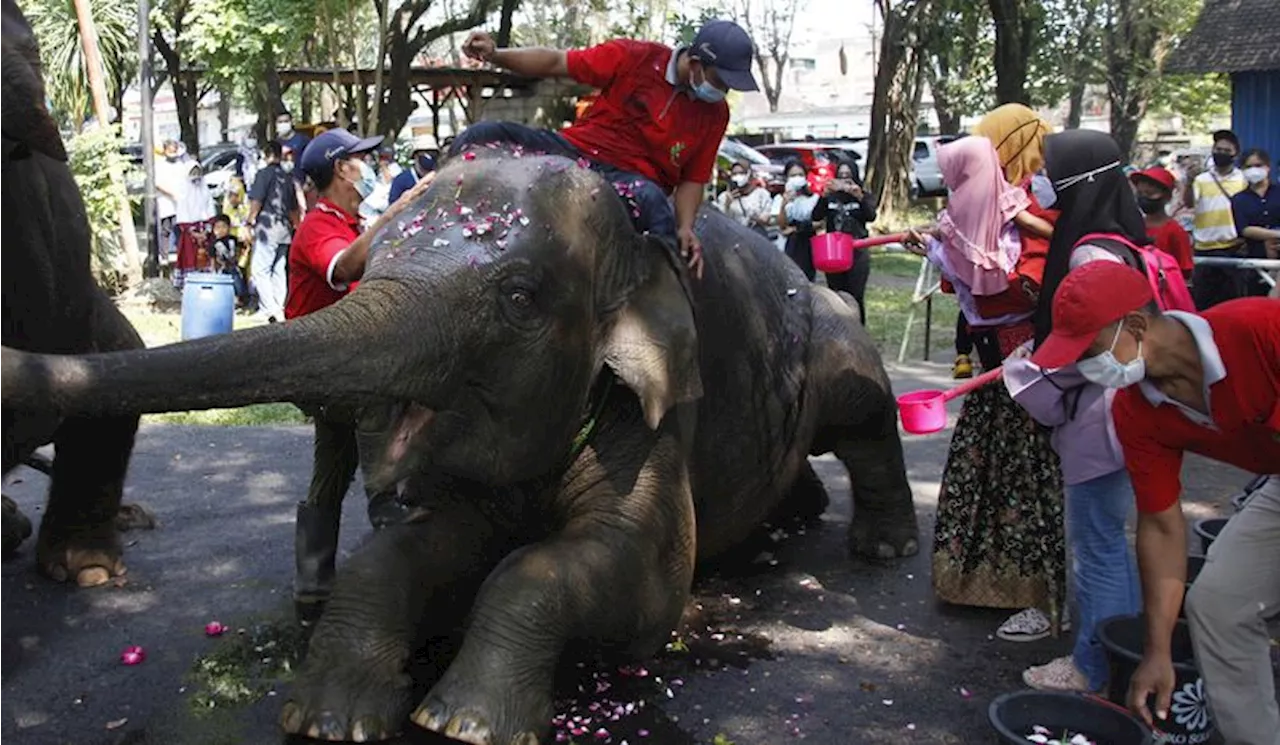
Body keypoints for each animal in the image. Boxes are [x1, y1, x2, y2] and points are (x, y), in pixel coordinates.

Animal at [0, 147, 921, 745]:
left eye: (518, 297)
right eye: (361, 269)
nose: (10, 359)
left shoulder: (661, 400)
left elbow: (636, 576)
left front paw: (465, 721)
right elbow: (416, 546)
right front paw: (328, 717)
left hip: (829, 331)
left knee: (864, 407)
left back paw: (883, 546)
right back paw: (799, 512)